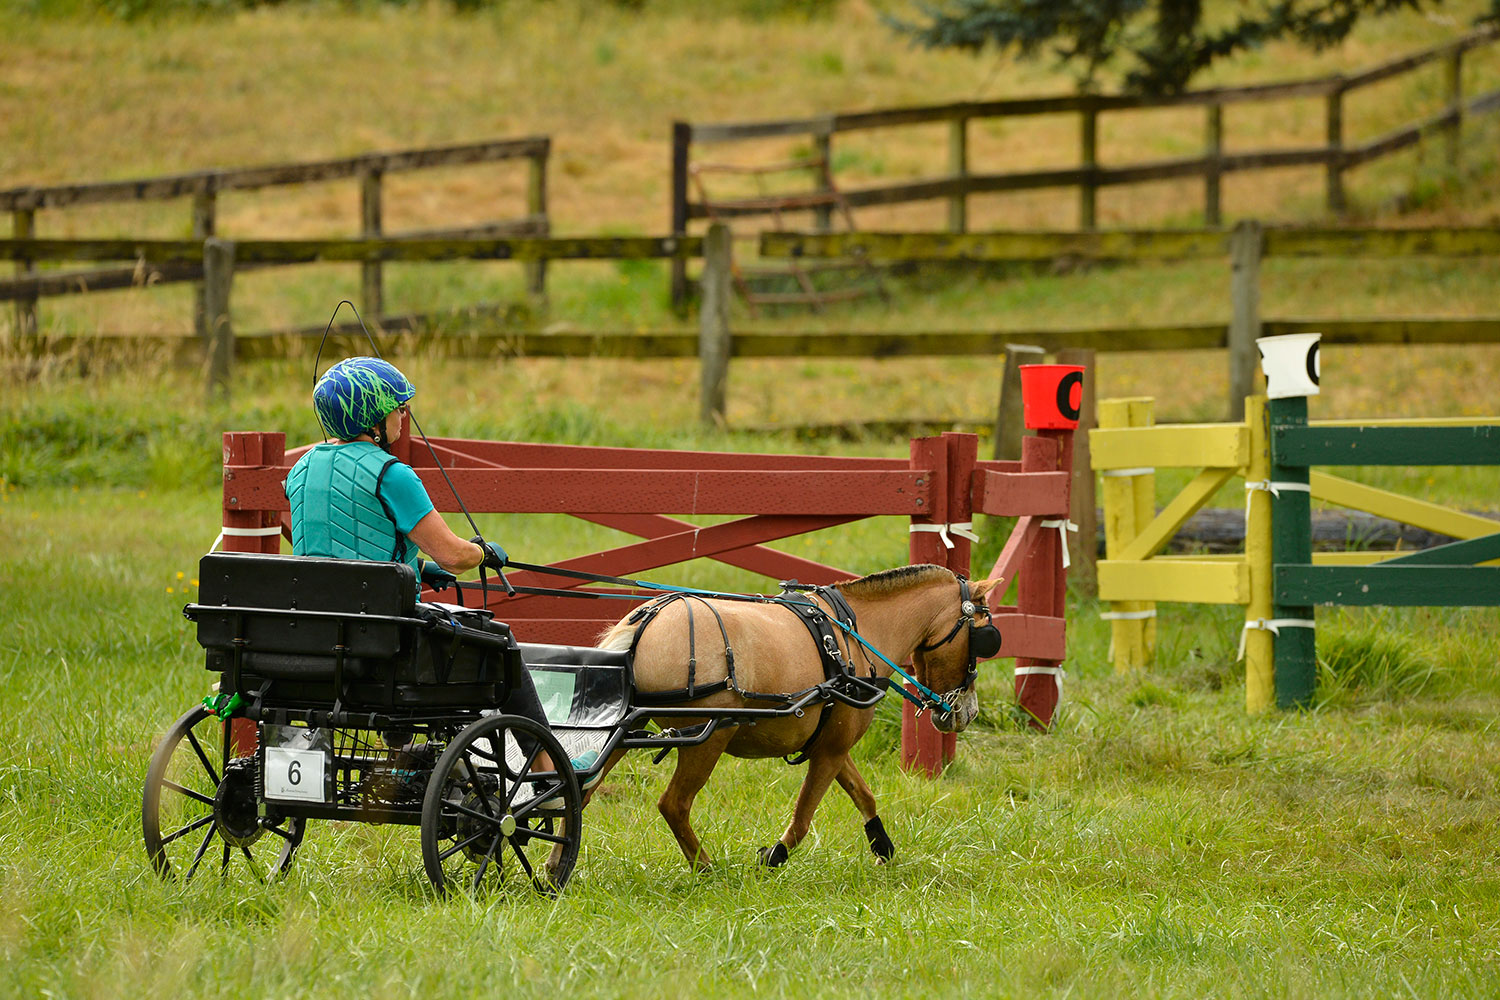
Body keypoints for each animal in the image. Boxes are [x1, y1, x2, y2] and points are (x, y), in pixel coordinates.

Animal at [583, 563, 999, 870]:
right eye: (984, 639)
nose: (969, 712)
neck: (853, 633)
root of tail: (646, 619)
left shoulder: (832, 743)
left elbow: (864, 795)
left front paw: (882, 846)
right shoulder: (830, 752)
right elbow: (802, 819)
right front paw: (773, 857)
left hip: (626, 727)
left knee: (585, 790)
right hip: (707, 740)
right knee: (674, 804)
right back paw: (706, 869)